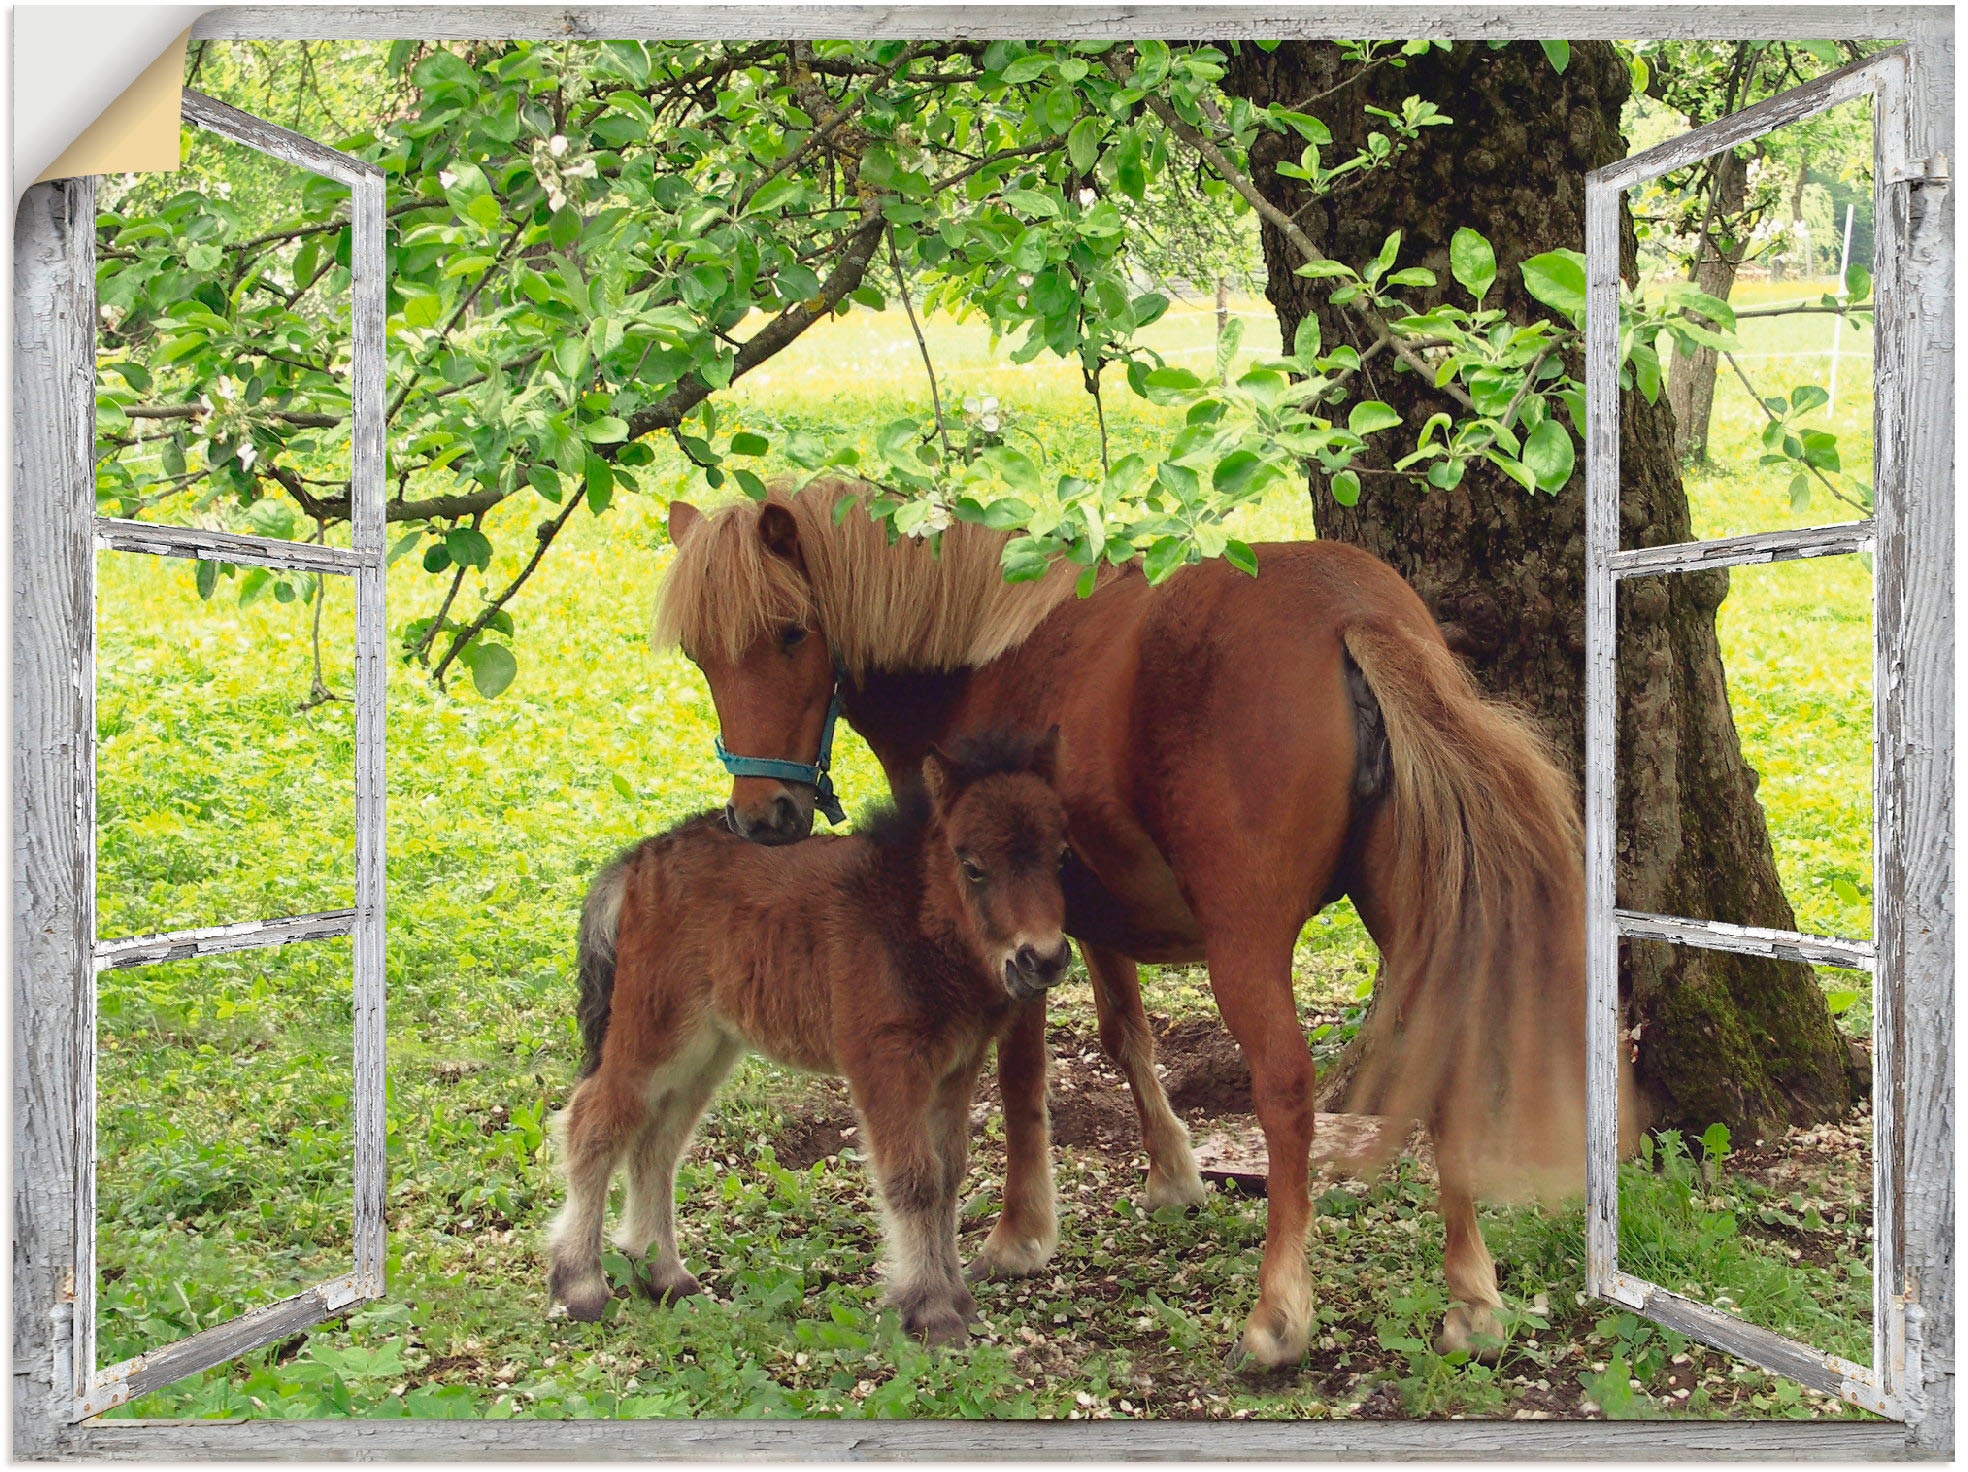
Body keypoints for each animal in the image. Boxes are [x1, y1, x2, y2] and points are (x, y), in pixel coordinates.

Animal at [547, 728, 1070, 1346]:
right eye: (972, 867)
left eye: (1061, 857)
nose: (1042, 959)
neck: (910, 916)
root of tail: (639, 859)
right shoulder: (883, 1062)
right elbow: (914, 1179)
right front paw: (930, 1312)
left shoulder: (955, 1070)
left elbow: (948, 1177)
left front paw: (958, 1302)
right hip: (654, 1034)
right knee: (594, 1125)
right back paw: (580, 1285)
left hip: (707, 1048)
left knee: (657, 1142)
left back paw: (664, 1275)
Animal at [653, 478, 1590, 1361]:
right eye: (699, 655)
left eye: (791, 633)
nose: (762, 818)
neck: (976, 656)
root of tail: (1349, 612)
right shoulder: (1091, 918)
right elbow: (1124, 1034)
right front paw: (1173, 1174)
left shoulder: (1010, 939)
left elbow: (1022, 1075)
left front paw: (1019, 1232)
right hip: (1413, 915)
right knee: (1444, 1061)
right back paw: (1472, 1301)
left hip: (1246, 945)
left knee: (1285, 1092)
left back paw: (1278, 1315)